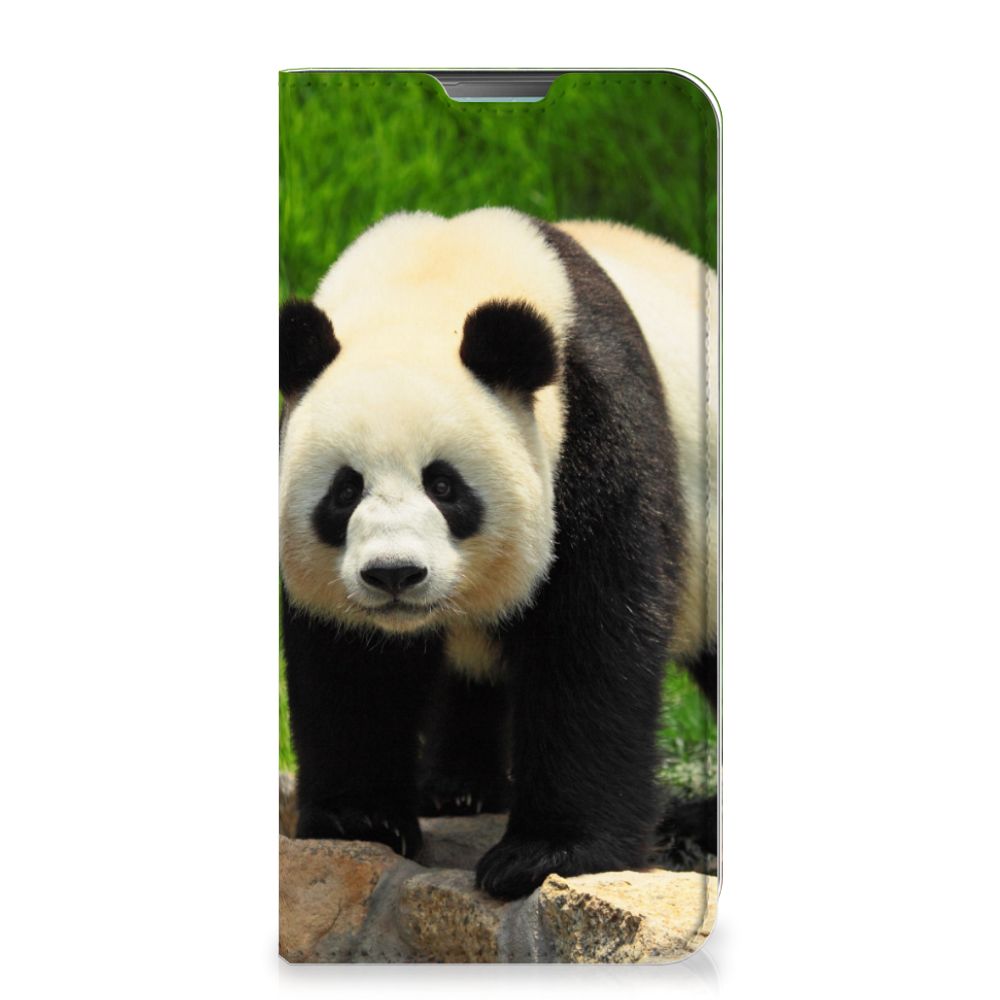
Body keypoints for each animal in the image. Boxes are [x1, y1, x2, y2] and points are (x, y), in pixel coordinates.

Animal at [279, 207, 718, 901]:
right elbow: (350, 661)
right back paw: (458, 788)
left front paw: (546, 855)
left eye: (444, 485)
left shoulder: (594, 426)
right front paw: (360, 819)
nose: (395, 574)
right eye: (345, 491)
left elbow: (591, 637)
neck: (430, 281)